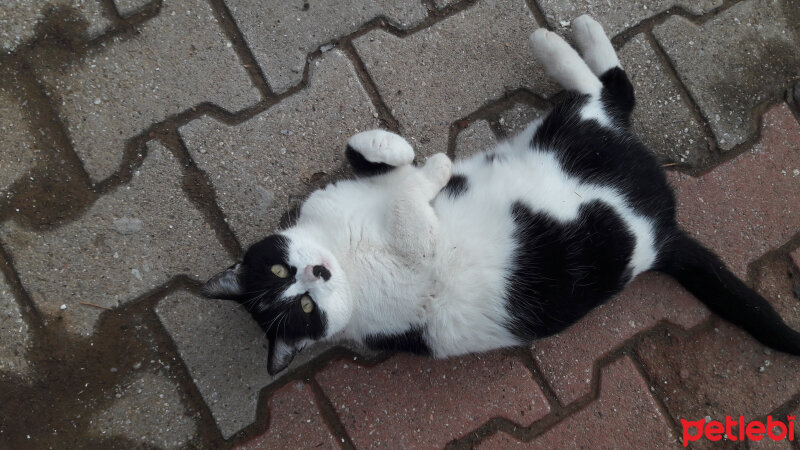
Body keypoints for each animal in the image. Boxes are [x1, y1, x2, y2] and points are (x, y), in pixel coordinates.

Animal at [202, 15, 800, 374]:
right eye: (301, 302)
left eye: (280, 270)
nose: (316, 272)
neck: (343, 245)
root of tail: (662, 225)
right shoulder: (414, 249)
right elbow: (411, 207)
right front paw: (436, 170)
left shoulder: (353, 183)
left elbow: (374, 151)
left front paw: (412, 157)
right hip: (582, 147)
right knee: (604, 92)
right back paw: (559, 40)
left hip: (565, 130)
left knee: (611, 88)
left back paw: (566, 36)